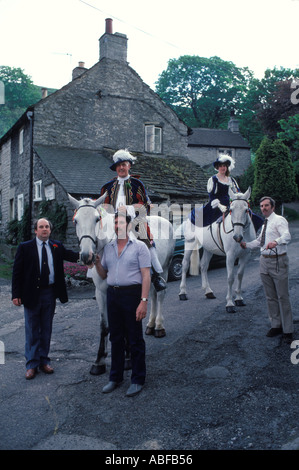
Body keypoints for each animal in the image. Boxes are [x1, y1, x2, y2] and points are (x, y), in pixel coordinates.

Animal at [68, 194, 176, 374]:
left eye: (97, 219)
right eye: (76, 221)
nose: (86, 256)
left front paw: (127, 358)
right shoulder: (101, 293)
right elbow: (104, 325)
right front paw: (99, 361)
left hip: (165, 269)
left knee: (160, 295)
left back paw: (159, 327)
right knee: (153, 295)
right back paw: (151, 325)